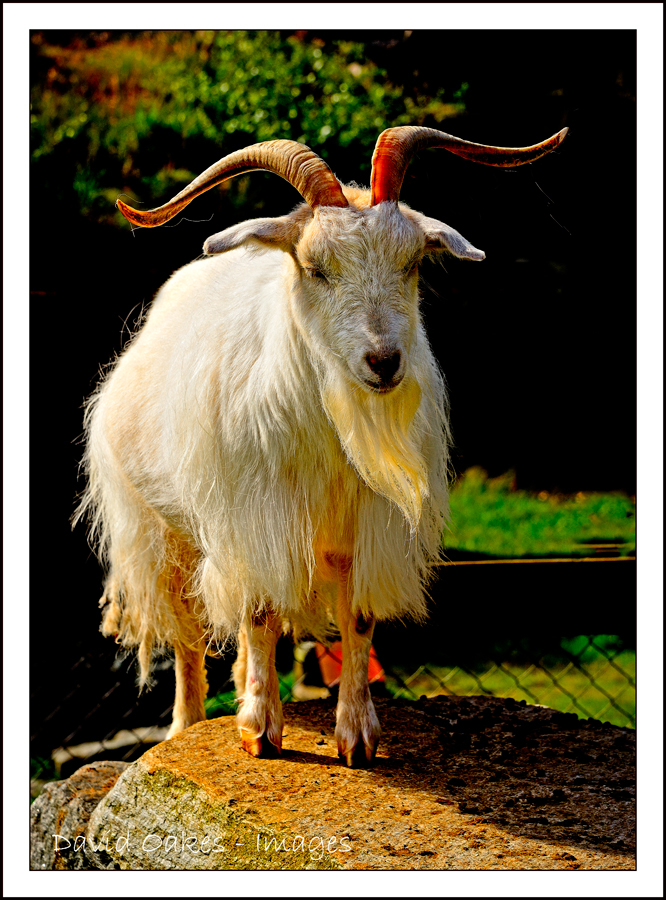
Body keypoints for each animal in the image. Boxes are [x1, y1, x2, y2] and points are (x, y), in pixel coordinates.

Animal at [76, 125, 567, 766]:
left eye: (413, 263)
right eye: (315, 267)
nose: (383, 361)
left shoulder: (370, 526)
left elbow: (356, 619)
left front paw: (356, 738)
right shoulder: (252, 518)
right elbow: (258, 613)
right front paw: (260, 733)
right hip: (160, 532)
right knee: (186, 635)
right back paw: (186, 727)